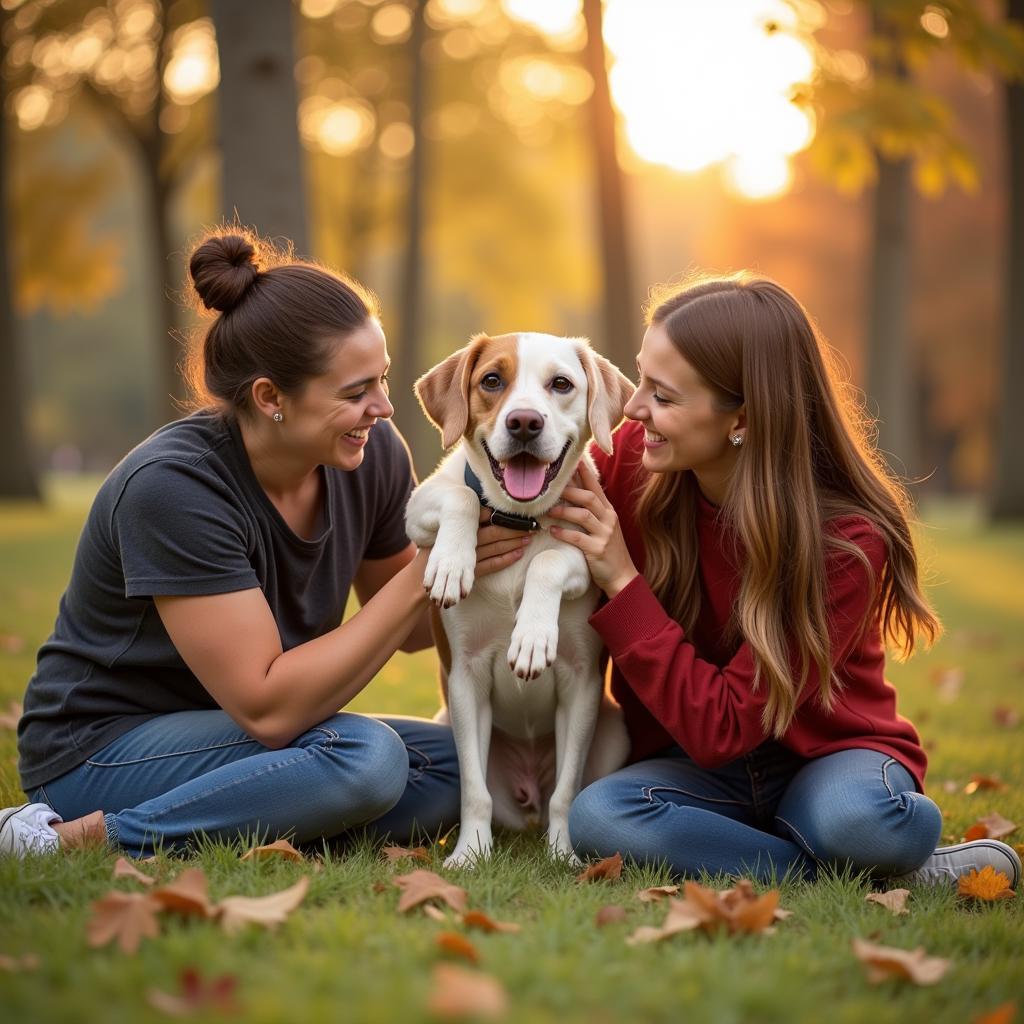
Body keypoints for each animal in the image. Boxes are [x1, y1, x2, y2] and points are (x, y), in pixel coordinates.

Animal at [405, 331, 630, 868]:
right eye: (492, 380)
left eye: (561, 384)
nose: (524, 421)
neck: (520, 518)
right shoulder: (465, 677)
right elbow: (462, 496)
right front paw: (470, 853)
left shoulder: (580, 681)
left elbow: (551, 560)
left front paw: (563, 855)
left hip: (613, 730)